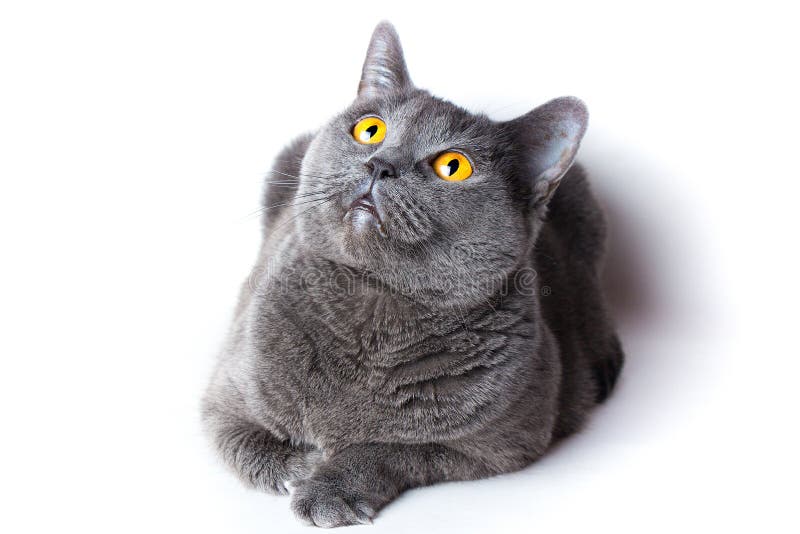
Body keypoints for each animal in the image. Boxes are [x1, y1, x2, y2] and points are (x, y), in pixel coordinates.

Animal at [202, 22, 624, 532]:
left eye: (453, 166)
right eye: (370, 129)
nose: (380, 164)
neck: (372, 308)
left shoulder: (504, 442)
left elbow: (394, 449)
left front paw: (330, 486)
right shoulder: (226, 388)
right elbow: (237, 437)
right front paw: (295, 465)